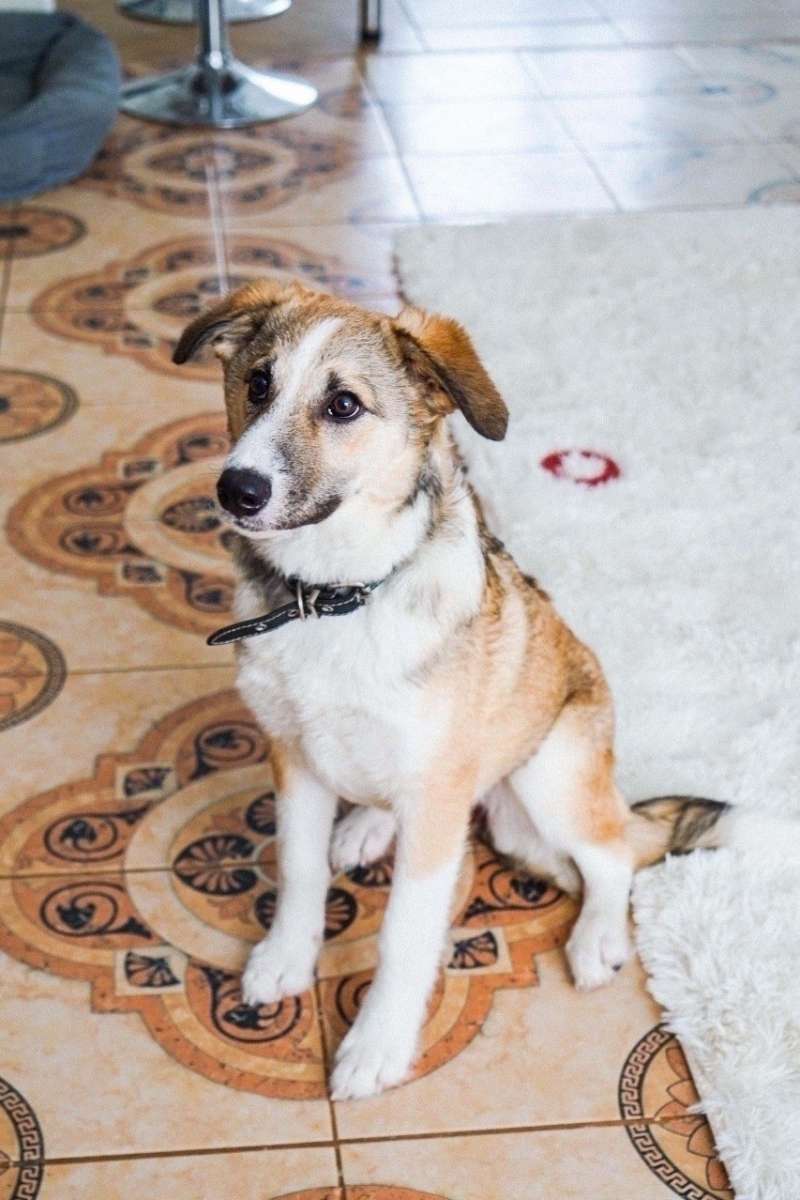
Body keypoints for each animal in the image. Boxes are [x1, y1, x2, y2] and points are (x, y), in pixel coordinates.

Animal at [173, 279, 743, 1101]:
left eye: (343, 405)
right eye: (256, 384)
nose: (236, 489)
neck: (335, 596)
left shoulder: (435, 803)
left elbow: (405, 936)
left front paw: (376, 1045)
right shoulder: (294, 759)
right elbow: (299, 869)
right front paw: (284, 958)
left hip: (545, 782)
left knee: (613, 855)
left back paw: (597, 936)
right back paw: (367, 826)